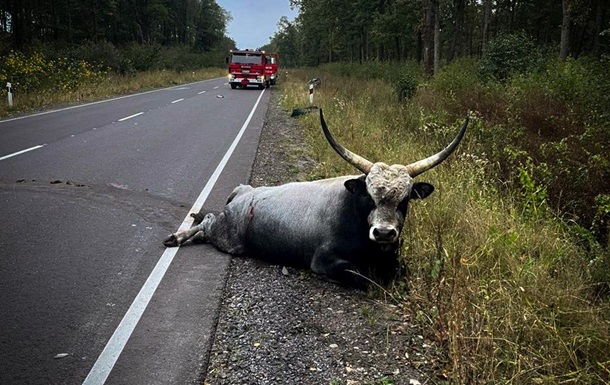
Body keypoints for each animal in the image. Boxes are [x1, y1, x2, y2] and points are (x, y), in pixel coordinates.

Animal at [163, 109, 466, 288]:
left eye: (404, 200)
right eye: (369, 197)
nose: (383, 233)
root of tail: (244, 191)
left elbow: (399, 271)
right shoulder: (325, 261)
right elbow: (366, 279)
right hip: (227, 236)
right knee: (207, 222)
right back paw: (178, 236)